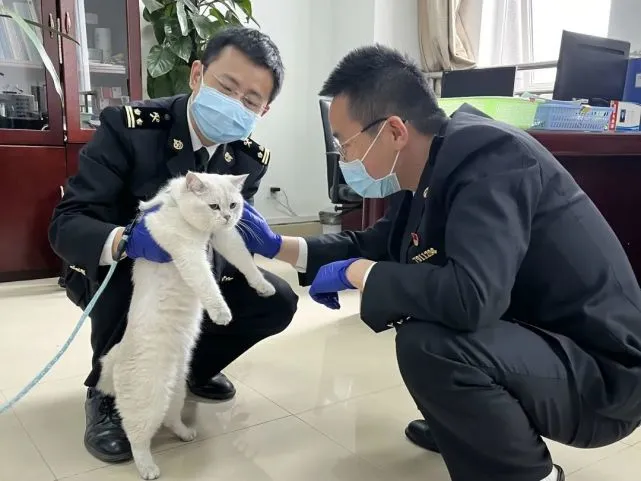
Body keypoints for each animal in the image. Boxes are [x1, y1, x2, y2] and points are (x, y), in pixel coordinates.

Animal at [97, 172, 275, 480]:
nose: (227, 217)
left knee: (171, 420)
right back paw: (148, 468)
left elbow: (245, 262)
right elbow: (207, 283)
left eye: (233, 204)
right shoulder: (188, 253)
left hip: (176, 392)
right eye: (214, 206)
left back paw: (185, 433)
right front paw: (221, 313)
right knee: (137, 438)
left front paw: (263, 286)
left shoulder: (225, 238)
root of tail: (117, 356)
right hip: (148, 401)